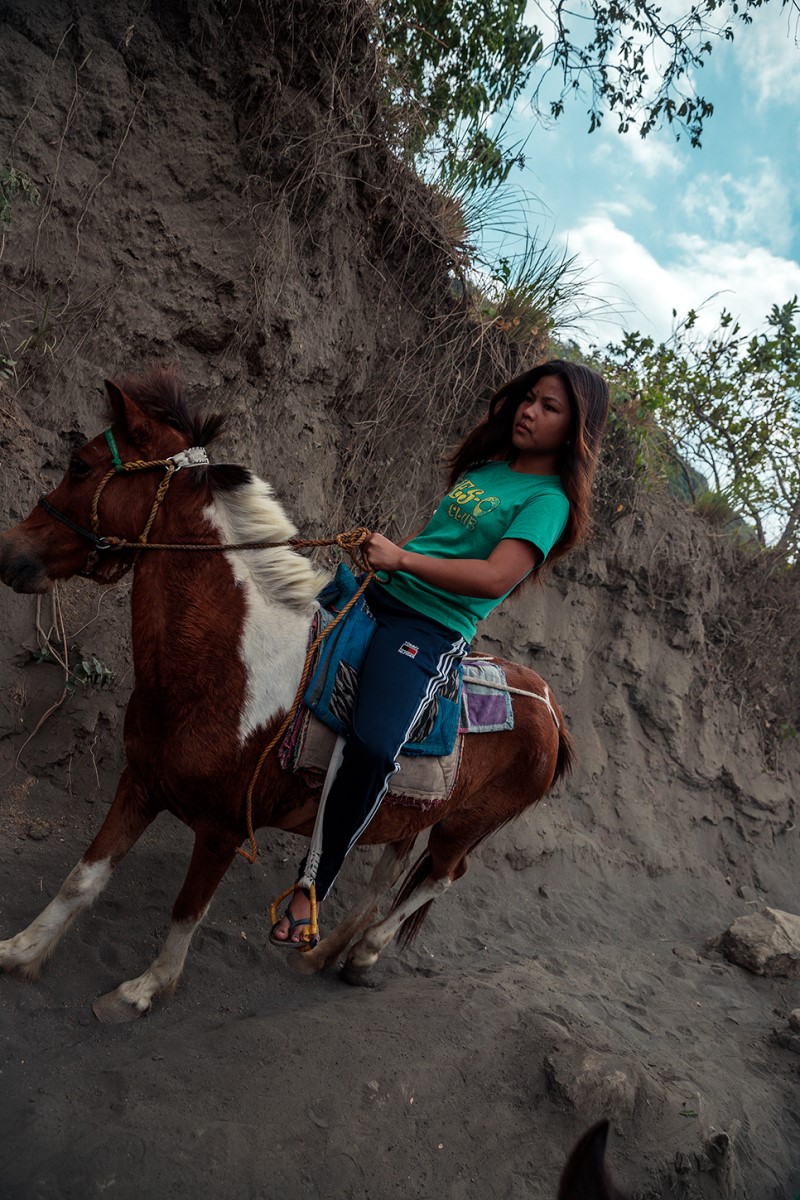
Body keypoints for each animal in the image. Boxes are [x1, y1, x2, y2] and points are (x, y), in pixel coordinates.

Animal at [1, 364, 575, 1022]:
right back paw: (331, 953)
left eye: (80, 464)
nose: (8, 552)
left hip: (470, 823)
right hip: (419, 806)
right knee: (392, 864)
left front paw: (143, 990)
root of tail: (550, 706)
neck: (231, 665)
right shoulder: (140, 782)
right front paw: (20, 950)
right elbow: (84, 877)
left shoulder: (223, 827)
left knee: (440, 876)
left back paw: (362, 950)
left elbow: (186, 910)